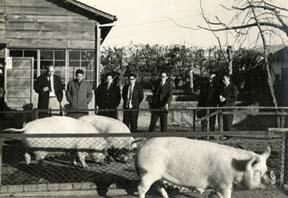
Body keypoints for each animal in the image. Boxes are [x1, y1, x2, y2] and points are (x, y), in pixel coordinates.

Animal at [136, 137, 276, 198]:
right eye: (258, 172)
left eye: (265, 170)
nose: (271, 181)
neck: (237, 167)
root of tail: (141, 146)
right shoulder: (223, 183)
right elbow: (226, 195)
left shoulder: (216, 185)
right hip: (148, 172)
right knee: (141, 188)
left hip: (158, 175)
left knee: (159, 187)